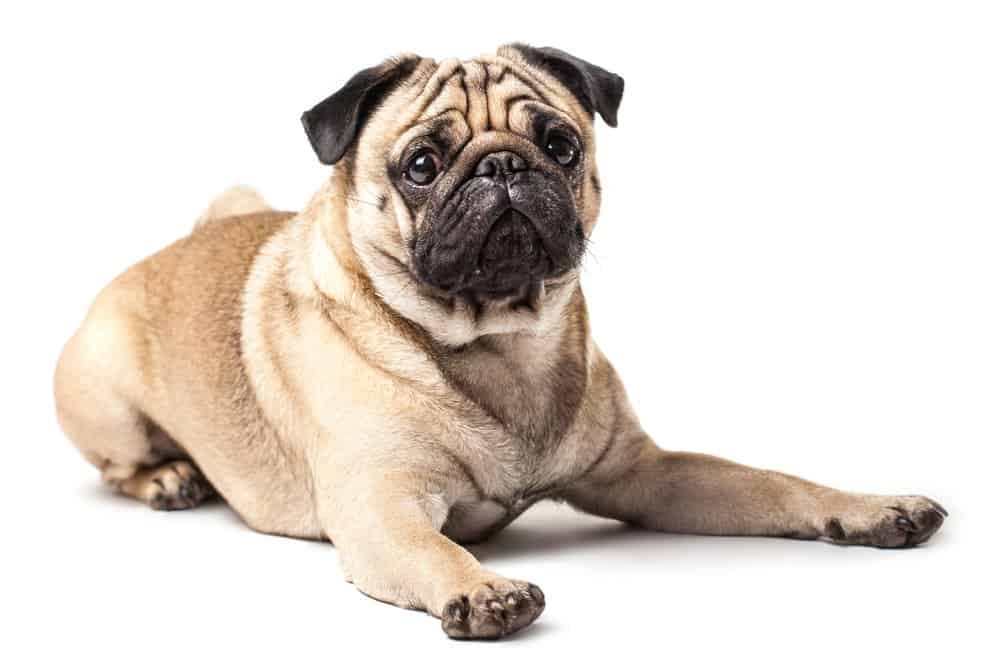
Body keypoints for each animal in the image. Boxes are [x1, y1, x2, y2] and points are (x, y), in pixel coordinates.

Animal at [54, 44, 944, 640]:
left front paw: (868, 508)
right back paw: (170, 477)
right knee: (118, 465)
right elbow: (430, 550)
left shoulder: (646, 474)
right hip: (105, 394)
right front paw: (482, 589)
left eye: (560, 144)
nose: (503, 167)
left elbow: (773, 483)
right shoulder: (381, 506)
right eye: (420, 164)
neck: (501, 342)